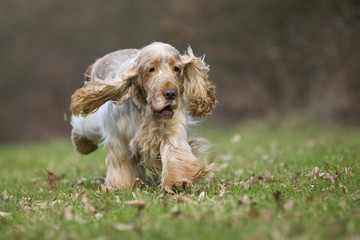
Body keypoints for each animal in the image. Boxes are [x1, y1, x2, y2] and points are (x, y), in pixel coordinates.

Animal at [70, 41, 217, 191]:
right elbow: (123, 167)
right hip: (91, 122)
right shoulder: (120, 139)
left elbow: (175, 156)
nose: (170, 93)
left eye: (176, 68)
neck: (145, 110)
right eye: (151, 69)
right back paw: (82, 145)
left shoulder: (172, 133)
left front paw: (177, 183)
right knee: (81, 126)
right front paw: (122, 187)